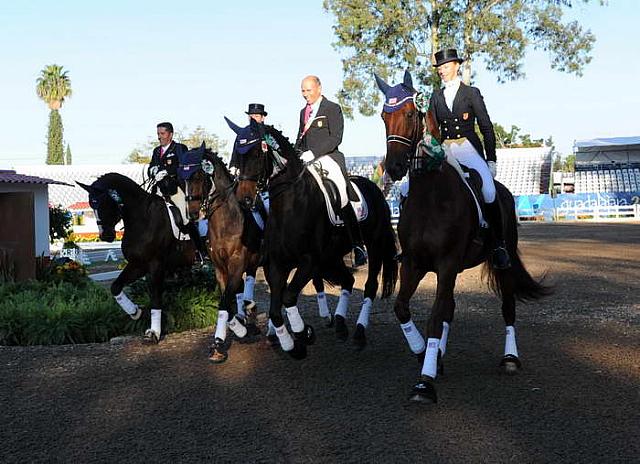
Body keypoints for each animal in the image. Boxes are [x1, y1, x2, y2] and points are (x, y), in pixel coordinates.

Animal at [76, 172, 195, 342]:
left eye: (106, 202)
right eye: (92, 205)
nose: (106, 235)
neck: (143, 218)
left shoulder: (156, 264)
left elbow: (155, 296)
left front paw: (154, 332)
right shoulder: (138, 264)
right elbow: (115, 286)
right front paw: (135, 312)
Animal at [180, 145, 260, 362]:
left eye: (199, 175)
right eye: (183, 180)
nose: (192, 214)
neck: (226, 223)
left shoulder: (236, 264)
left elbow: (225, 303)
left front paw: (220, 342)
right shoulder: (220, 269)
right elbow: (226, 303)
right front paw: (236, 331)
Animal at [230, 120, 398, 356]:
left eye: (256, 154)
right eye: (237, 154)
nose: (243, 199)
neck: (290, 205)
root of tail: (374, 187)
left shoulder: (309, 261)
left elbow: (288, 297)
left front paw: (303, 333)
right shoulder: (278, 263)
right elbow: (275, 309)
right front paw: (291, 344)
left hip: (373, 245)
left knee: (370, 286)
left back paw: (359, 333)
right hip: (332, 257)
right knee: (348, 279)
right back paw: (340, 324)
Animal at [376, 71, 552, 402]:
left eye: (410, 114)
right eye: (383, 116)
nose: (393, 167)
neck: (430, 195)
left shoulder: (446, 263)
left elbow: (434, 318)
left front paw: (425, 383)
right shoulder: (414, 264)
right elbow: (403, 308)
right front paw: (425, 356)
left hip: (502, 261)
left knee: (507, 306)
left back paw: (510, 359)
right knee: (450, 308)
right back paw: (439, 355)